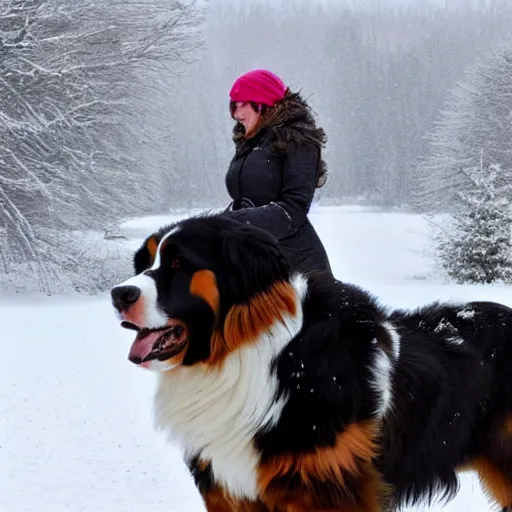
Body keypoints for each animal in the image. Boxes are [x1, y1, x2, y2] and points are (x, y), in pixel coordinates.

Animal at [112, 213, 512, 512]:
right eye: (143, 263)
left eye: (178, 263)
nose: (119, 294)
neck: (247, 359)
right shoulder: (231, 489)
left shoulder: (326, 491)